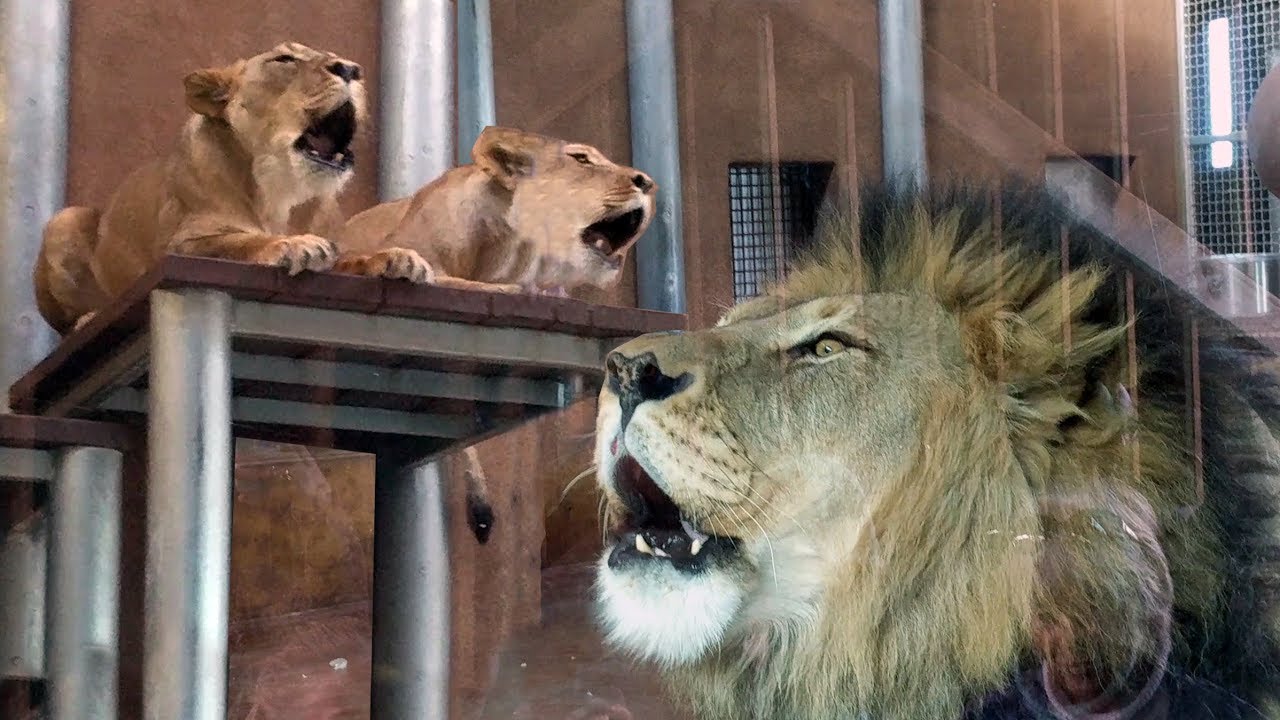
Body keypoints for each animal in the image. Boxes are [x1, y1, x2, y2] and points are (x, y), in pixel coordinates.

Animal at [34, 41, 367, 334]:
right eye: (285, 59)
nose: (351, 69)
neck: (281, 194)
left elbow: (351, 257)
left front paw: (377, 260)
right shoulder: (180, 247)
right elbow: (238, 241)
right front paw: (296, 244)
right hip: (64, 219)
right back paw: (87, 319)